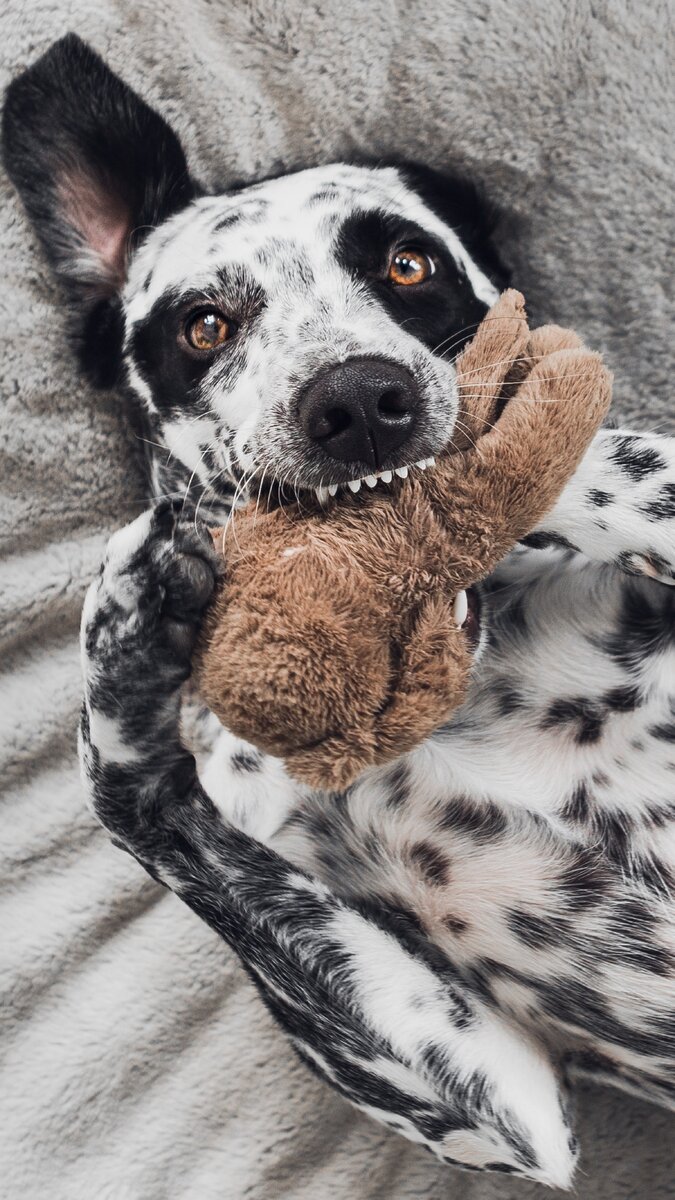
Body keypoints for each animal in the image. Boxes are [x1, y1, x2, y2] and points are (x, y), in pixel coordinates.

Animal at [5, 35, 672, 1190]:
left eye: (408, 266)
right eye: (205, 324)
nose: (358, 399)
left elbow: (612, 456)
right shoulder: (502, 1103)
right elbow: (132, 793)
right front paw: (124, 636)